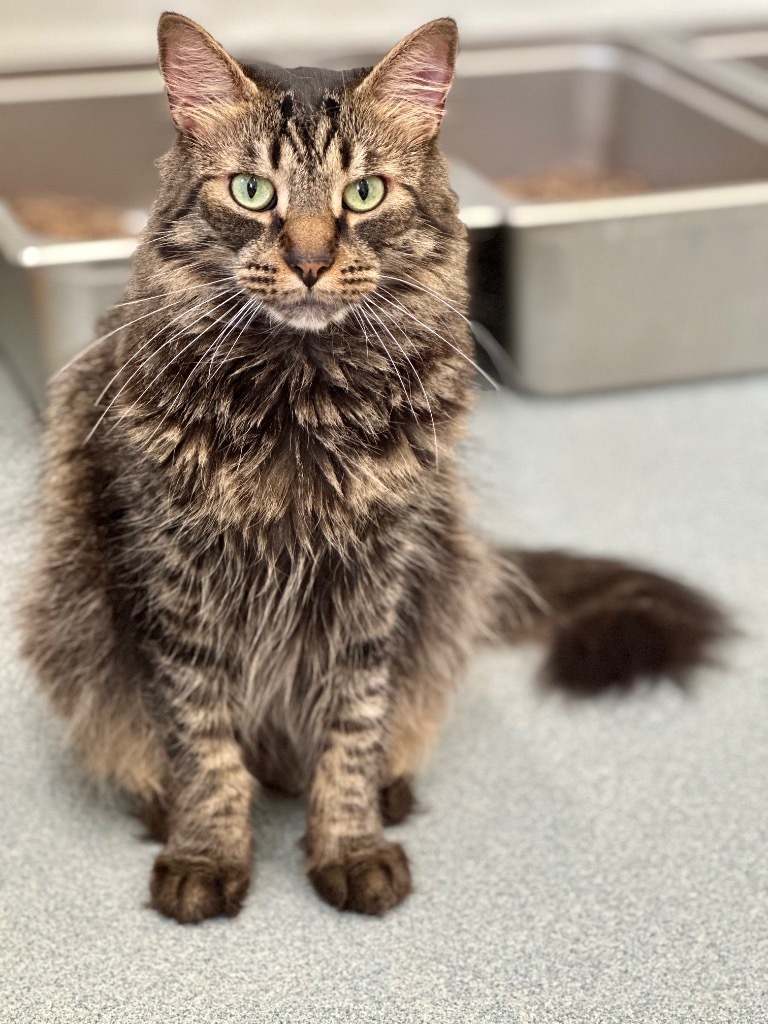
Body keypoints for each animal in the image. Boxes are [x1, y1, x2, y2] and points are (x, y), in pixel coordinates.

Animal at [19, 12, 729, 925]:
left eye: (364, 195)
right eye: (252, 192)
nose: (310, 261)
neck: (300, 404)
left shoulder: (375, 581)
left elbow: (352, 731)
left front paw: (350, 843)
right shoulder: (173, 582)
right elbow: (201, 739)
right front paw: (206, 850)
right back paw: (158, 807)